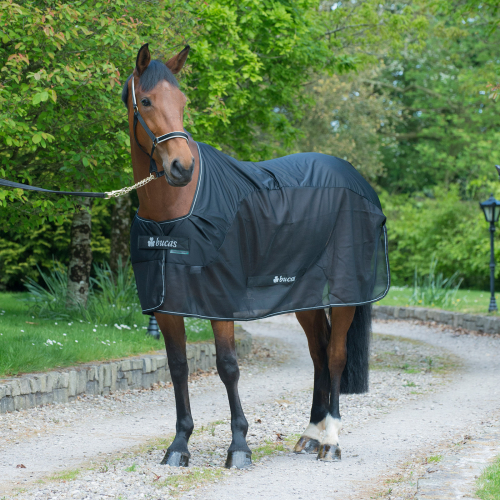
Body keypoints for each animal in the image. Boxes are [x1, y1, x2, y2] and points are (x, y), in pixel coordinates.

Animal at [123, 44, 388, 468]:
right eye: (145, 100)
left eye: (182, 101)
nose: (182, 167)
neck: (176, 211)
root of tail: (356, 178)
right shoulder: (166, 306)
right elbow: (178, 368)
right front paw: (179, 445)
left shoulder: (220, 301)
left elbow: (228, 367)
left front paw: (239, 447)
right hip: (304, 296)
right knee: (318, 354)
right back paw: (310, 435)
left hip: (346, 291)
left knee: (334, 355)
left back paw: (330, 440)